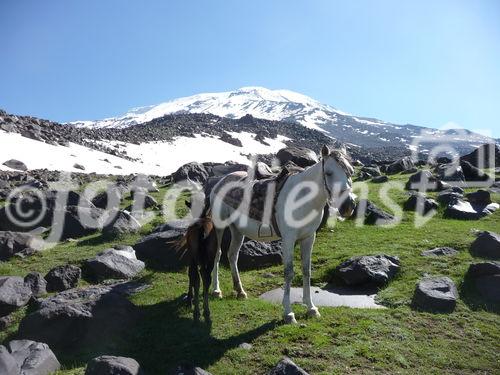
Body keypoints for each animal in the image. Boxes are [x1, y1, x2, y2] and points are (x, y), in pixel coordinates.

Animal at [207, 145, 356, 324]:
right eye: (328, 173)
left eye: (351, 171)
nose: (348, 205)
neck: (302, 199)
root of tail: (220, 182)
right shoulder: (289, 239)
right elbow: (289, 272)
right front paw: (288, 313)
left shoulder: (308, 238)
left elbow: (307, 270)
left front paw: (311, 308)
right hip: (220, 226)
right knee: (217, 254)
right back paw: (216, 290)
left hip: (237, 230)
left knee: (232, 255)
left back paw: (240, 290)